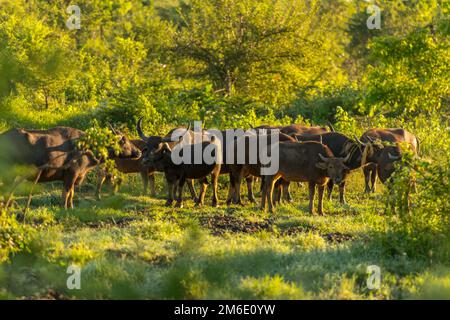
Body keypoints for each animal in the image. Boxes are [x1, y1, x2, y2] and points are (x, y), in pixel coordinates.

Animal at [0, 125, 140, 210]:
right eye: (124, 141)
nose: (138, 152)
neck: (86, 147)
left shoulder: (72, 177)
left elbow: (71, 193)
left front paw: (71, 207)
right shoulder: (72, 174)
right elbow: (66, 193)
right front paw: (64, 208)